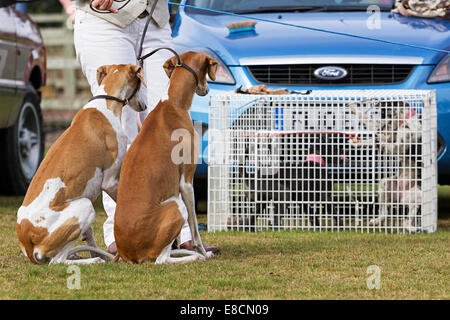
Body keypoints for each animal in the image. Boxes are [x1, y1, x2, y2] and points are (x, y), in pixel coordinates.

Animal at [15, 63, 145, 264]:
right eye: (140, 86)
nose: (144, 106)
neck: (104, 104)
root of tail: (27, 238)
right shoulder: (111, 182)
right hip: (85, 205)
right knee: (57, 261)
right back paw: (93, 260)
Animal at [112, 51, 218, 264]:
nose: (208, 89)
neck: (173, 103)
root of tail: (128, 252)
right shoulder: (186, 182)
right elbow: (195, 231)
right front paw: (202, 251)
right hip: (176, 205)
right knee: (162, 259)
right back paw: (196, 256)